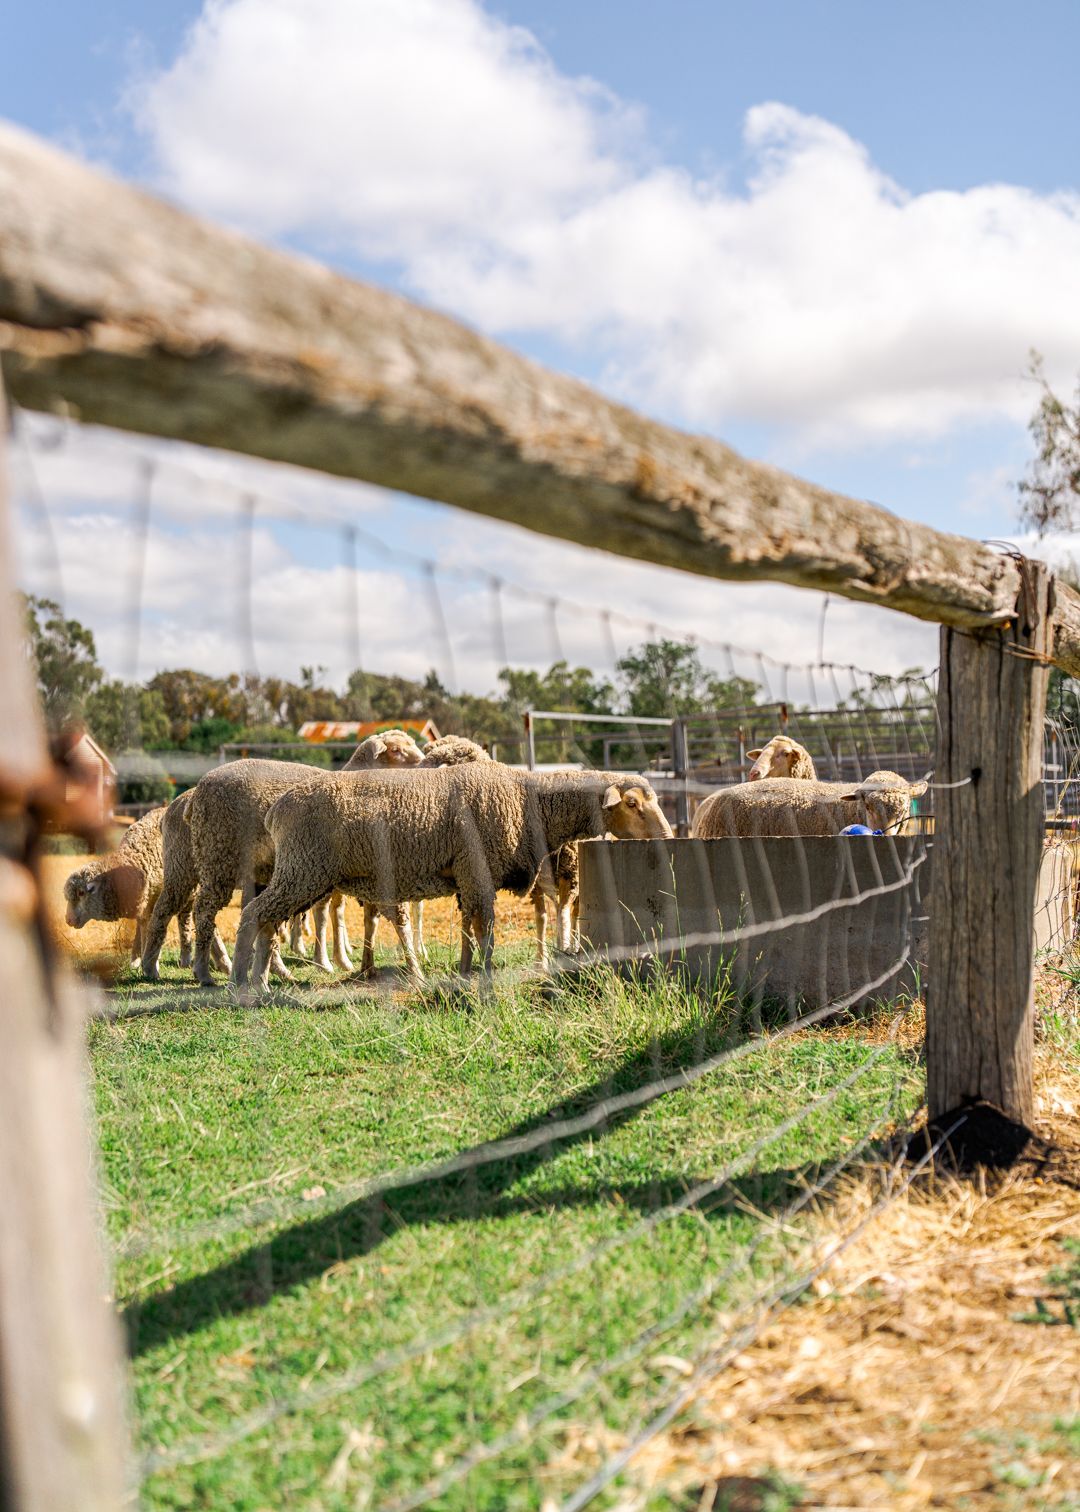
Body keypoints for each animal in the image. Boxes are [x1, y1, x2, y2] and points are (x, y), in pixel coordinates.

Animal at [233, 766, 671, 990]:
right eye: (632, 803)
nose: (667, 838)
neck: (531, 800)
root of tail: (277, 809)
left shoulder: (466, 874)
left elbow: (468, 926)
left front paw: (463, 970)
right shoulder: (479, 869)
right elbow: (486, 927)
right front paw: (487, 973)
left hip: (305, 874)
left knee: (268, 920)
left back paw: (262, 984)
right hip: (303, 869)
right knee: (254, 914)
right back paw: (242, 983)